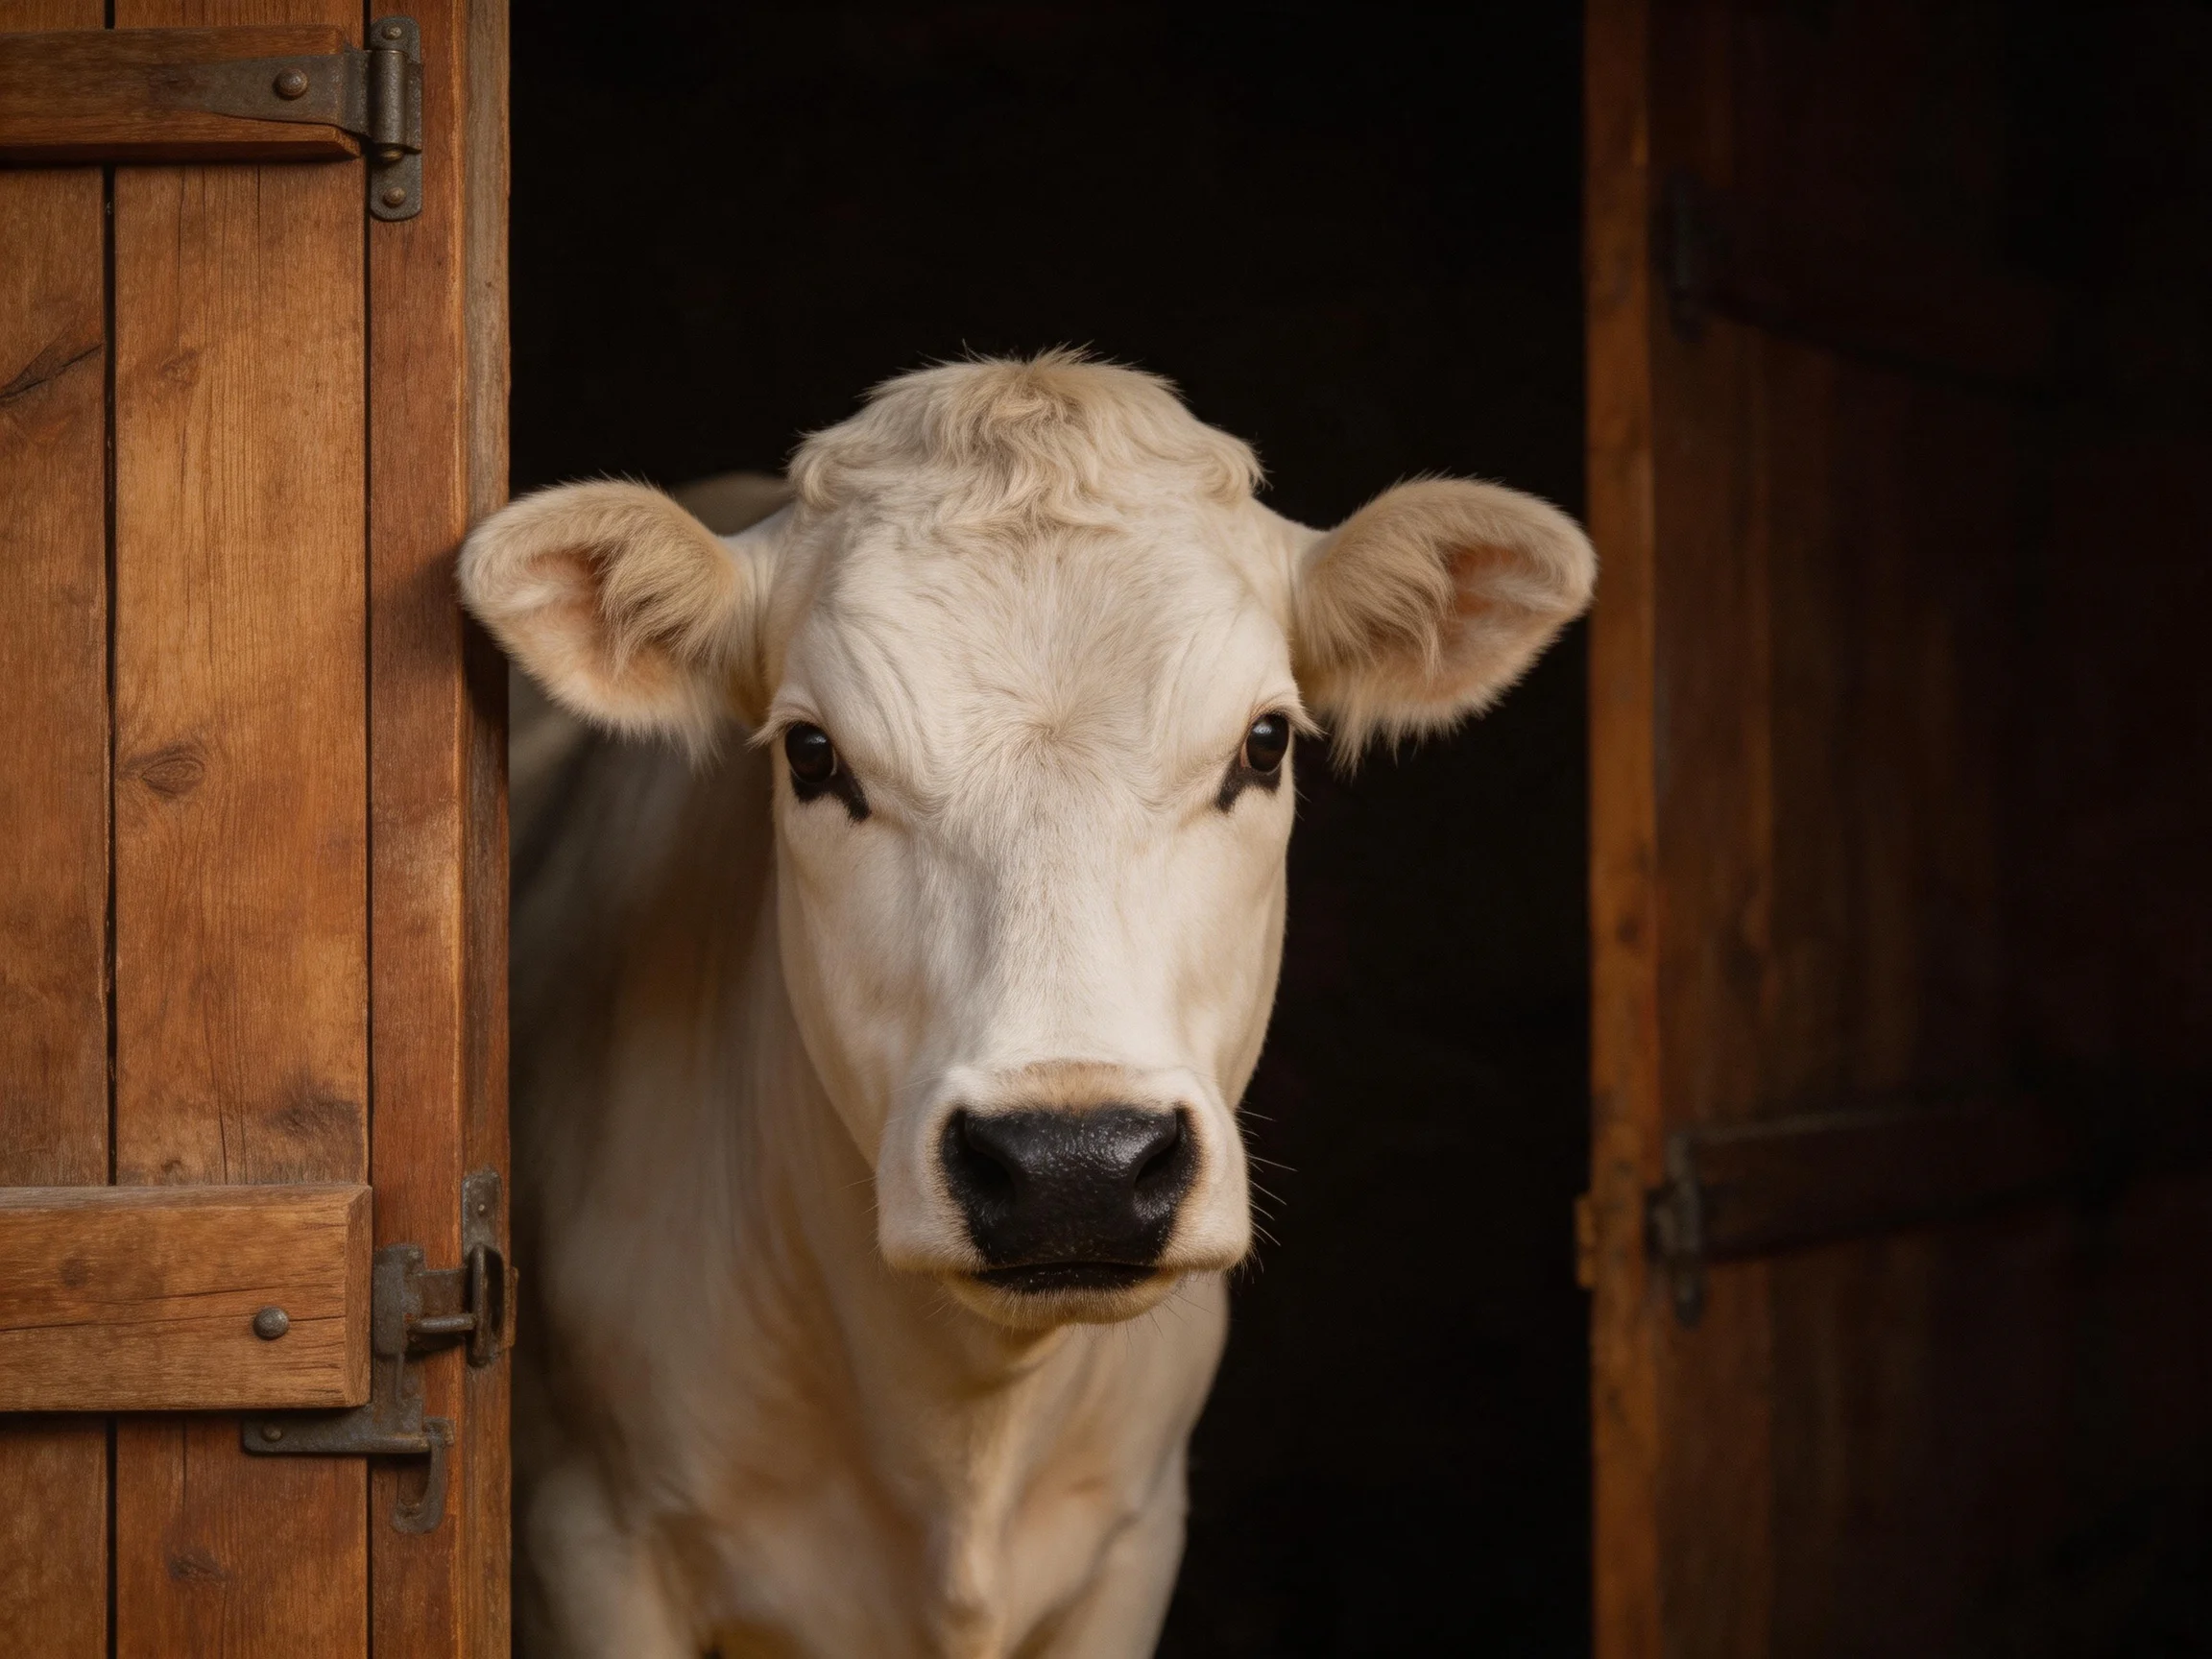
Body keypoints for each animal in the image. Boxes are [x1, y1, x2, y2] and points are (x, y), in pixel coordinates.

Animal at [459, 352, 1595, 1658]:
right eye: (811, 755)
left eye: (1263, 744)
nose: (1073, 1165)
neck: (964, 1423)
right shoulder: (591, 1540)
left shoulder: (1132, 1539)